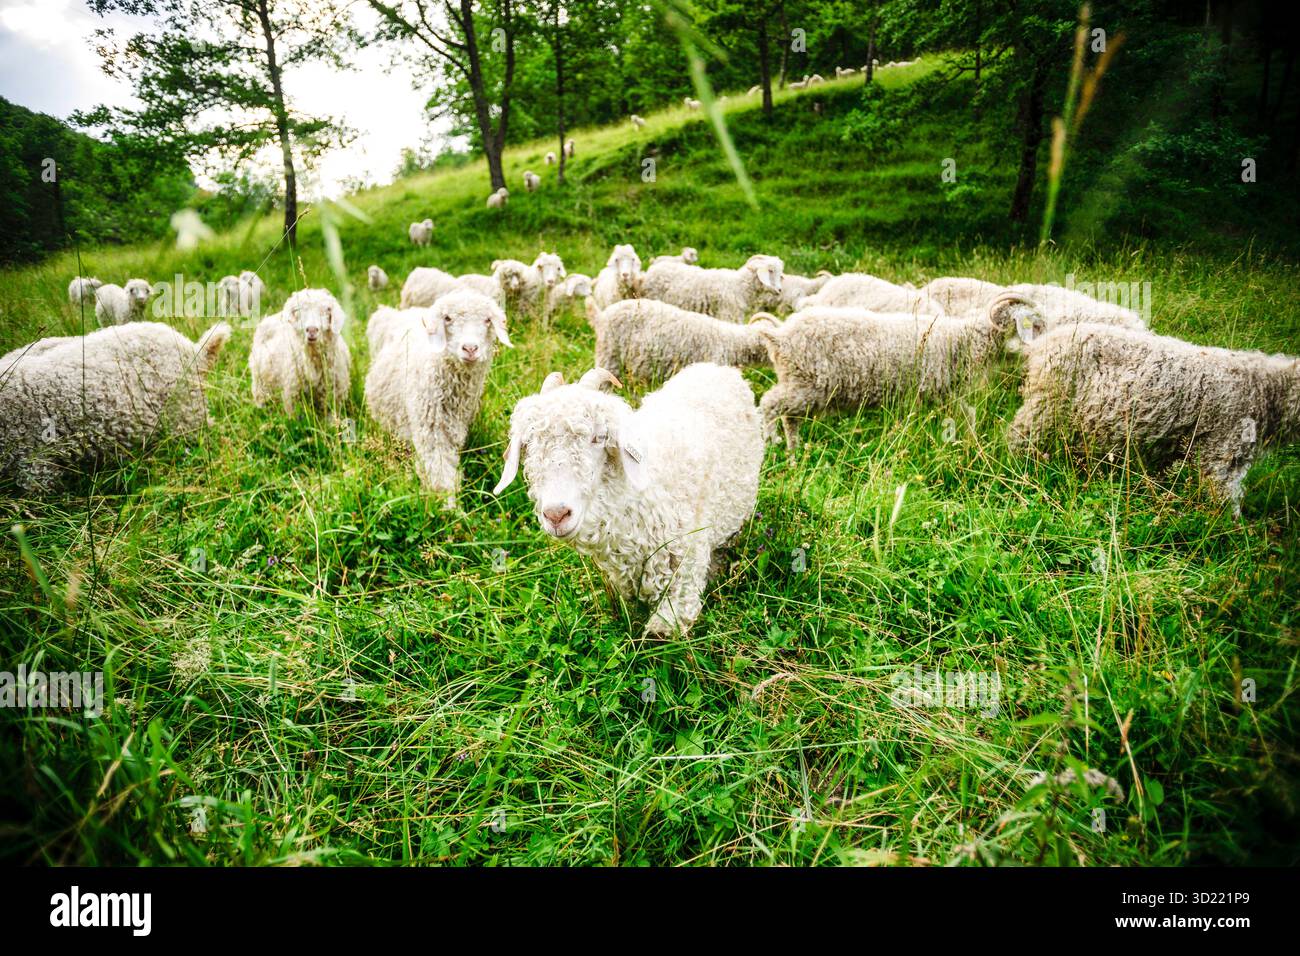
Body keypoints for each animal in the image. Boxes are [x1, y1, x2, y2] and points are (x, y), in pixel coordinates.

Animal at [365, 289, 511, 503]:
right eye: (448, 318)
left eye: (487, 320)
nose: (470, 348)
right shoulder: (431, 429)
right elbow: (440, 473)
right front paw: (449, 507)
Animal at [754, 293, 1044, 448]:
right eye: (1032, 323)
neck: (964, 338)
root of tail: (779, 336)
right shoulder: (939, 389)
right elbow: (967, 415)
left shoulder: (945, 394)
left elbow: (967, 415)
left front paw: (971, 442)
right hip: (805, 384)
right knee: (769, 404)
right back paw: (771, 441)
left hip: (802, 387)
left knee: (789, 418)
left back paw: (794, 452)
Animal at [1007, 321, 1299, 516]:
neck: (1265, 389)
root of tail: (1040, 345)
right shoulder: (1223, 450)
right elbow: (1225, 495)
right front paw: (1236, 532)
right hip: (1045, 405)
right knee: (1017, 438)